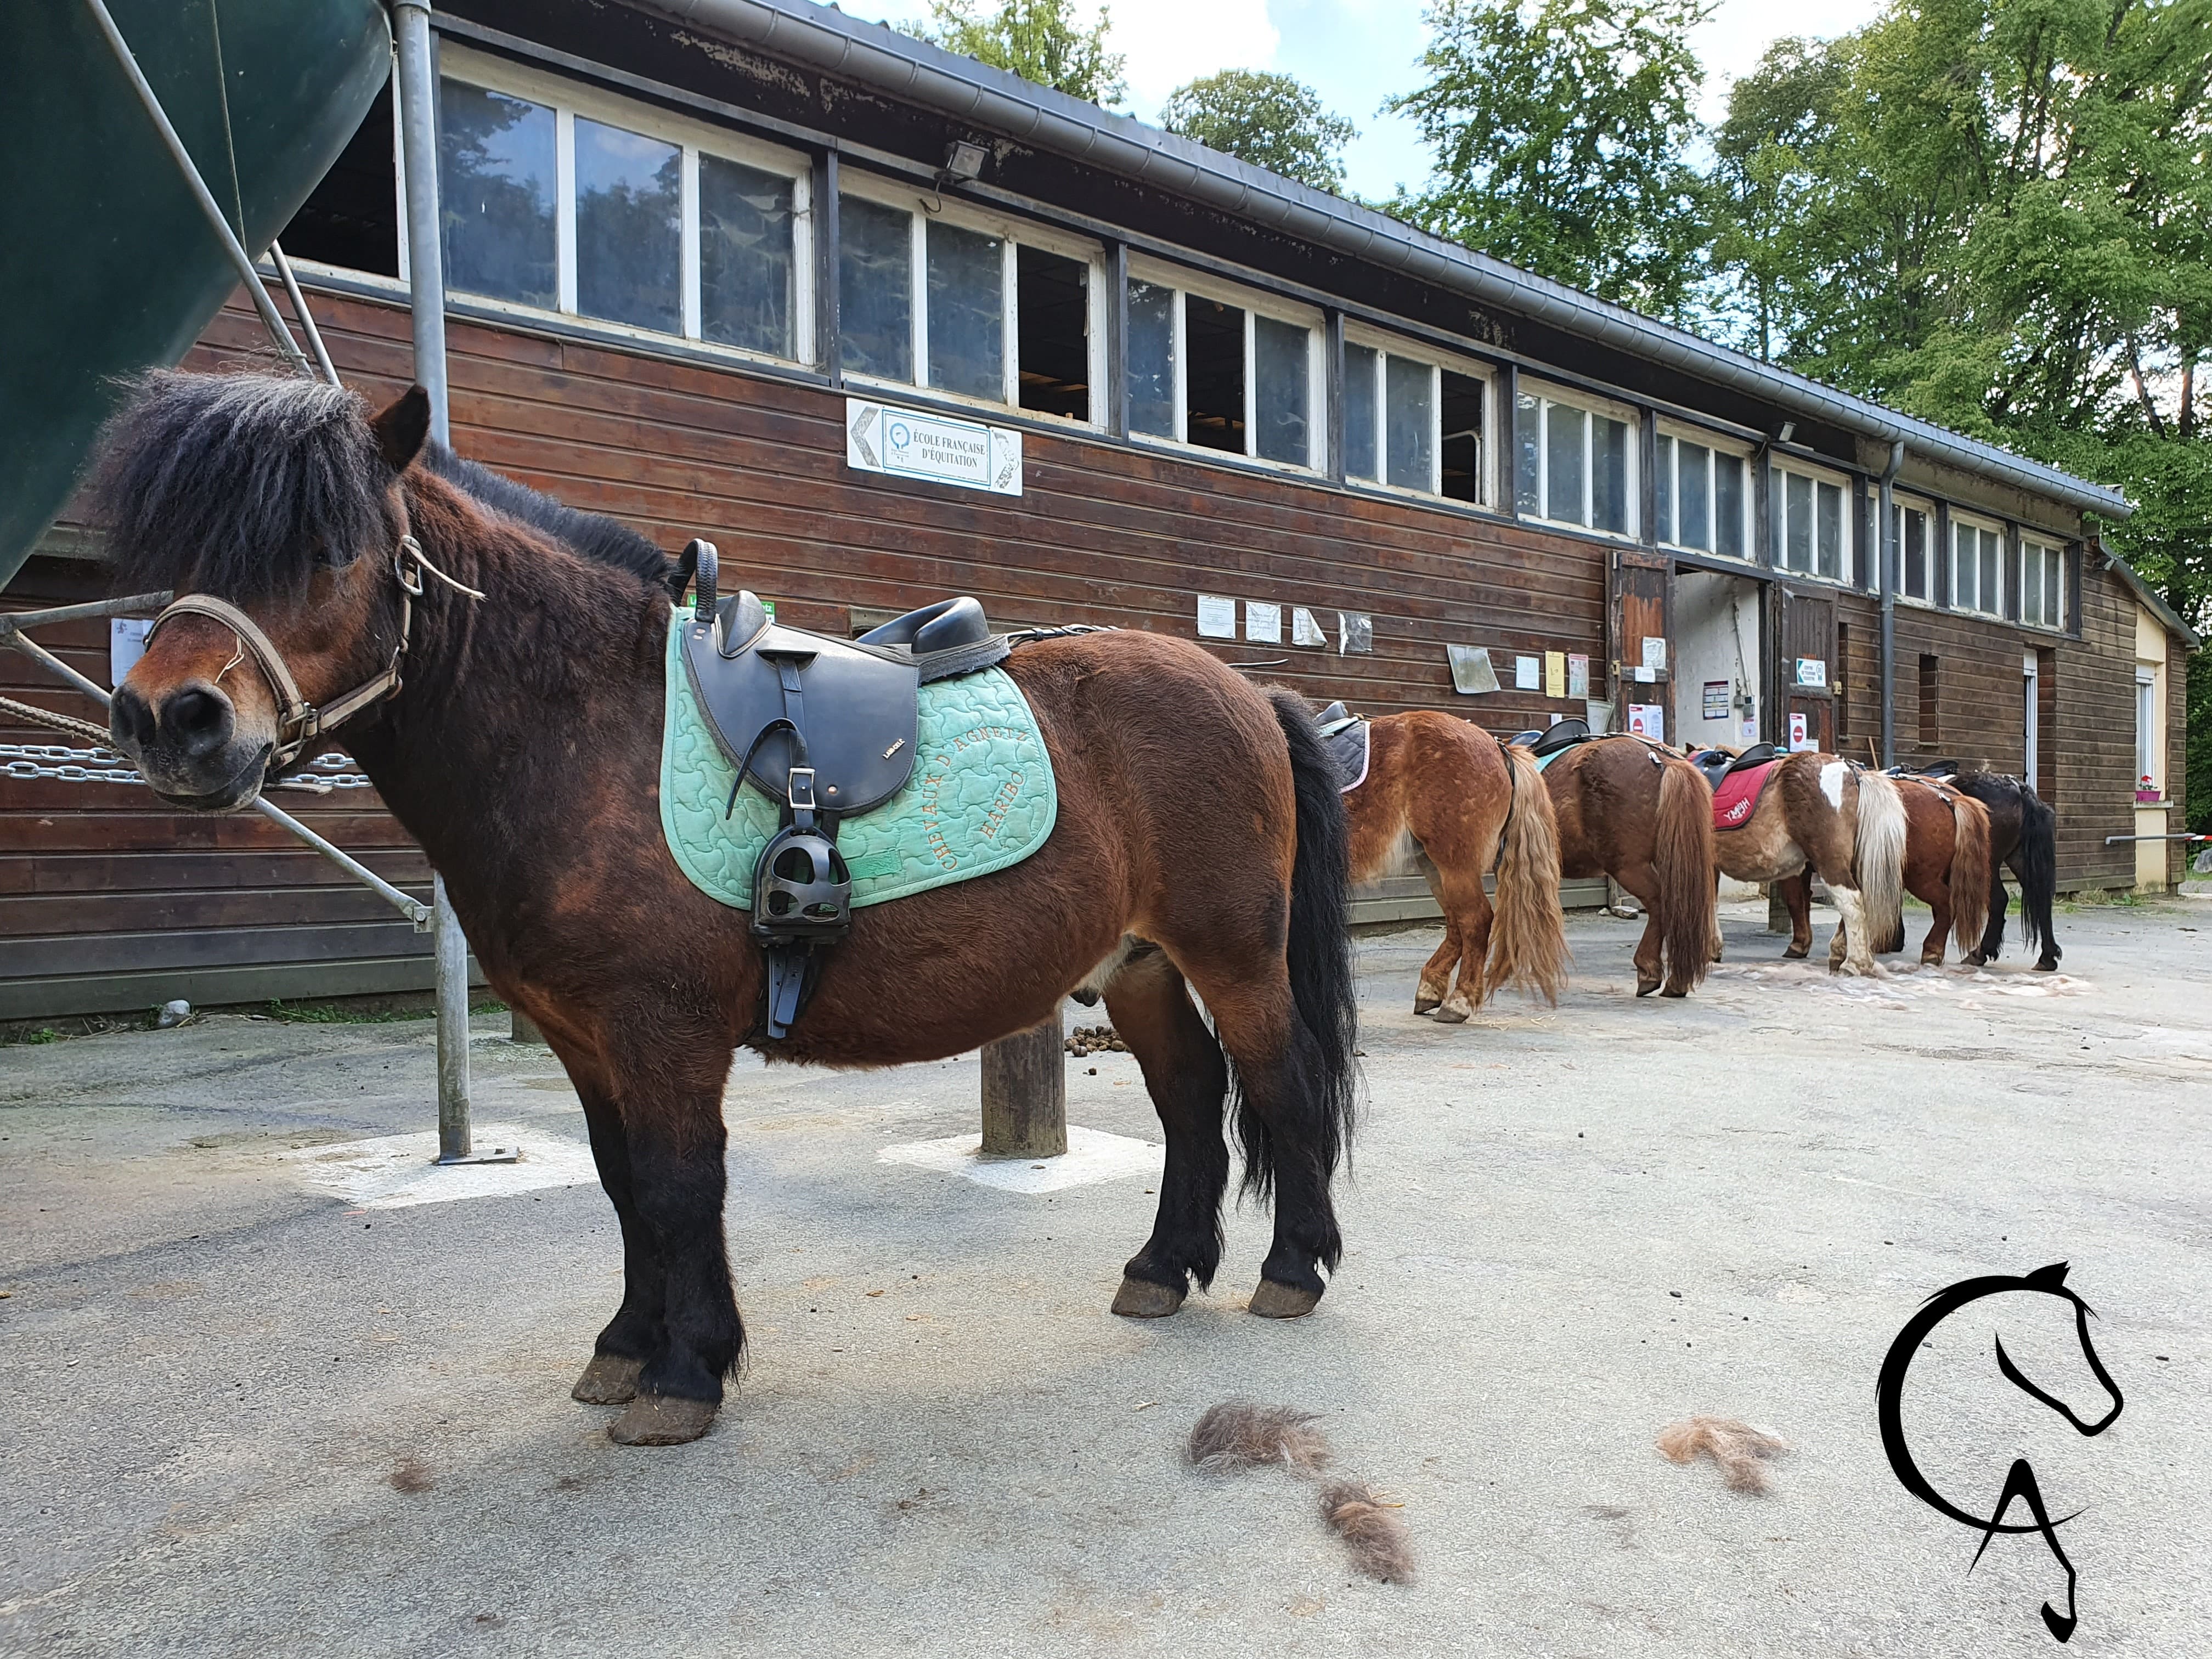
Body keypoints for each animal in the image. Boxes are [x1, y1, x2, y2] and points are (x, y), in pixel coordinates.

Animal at [95, 371, 1360, 1447]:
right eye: (172, 559)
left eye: (330, 547)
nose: (172, 720)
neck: (585, 723)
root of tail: (1251, 691)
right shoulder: (583, 1037)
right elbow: (622, 1185)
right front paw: (624, 1346)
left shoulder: (663, 1028)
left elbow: (676, 1182)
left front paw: (683, 1372)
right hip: (1139, 963)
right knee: (1191, 1098)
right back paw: (1163, 1267)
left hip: (1234, 953)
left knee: (1277, 1082)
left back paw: (1291, 1270)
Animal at [1341, 711, 1569, 1020]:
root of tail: (1498, 747)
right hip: (1435, 866)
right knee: (1455, 924)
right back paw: (1431, 989)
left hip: (1455, 864)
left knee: (1475, 920)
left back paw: (1459, 1000)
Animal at [1930, 769, 2063, 971]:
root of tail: (2019, 789)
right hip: (2019, 859)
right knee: (2042, 901)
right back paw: (2047, 958)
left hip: (1989, 864)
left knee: (2000, 900)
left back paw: (1980, 953)